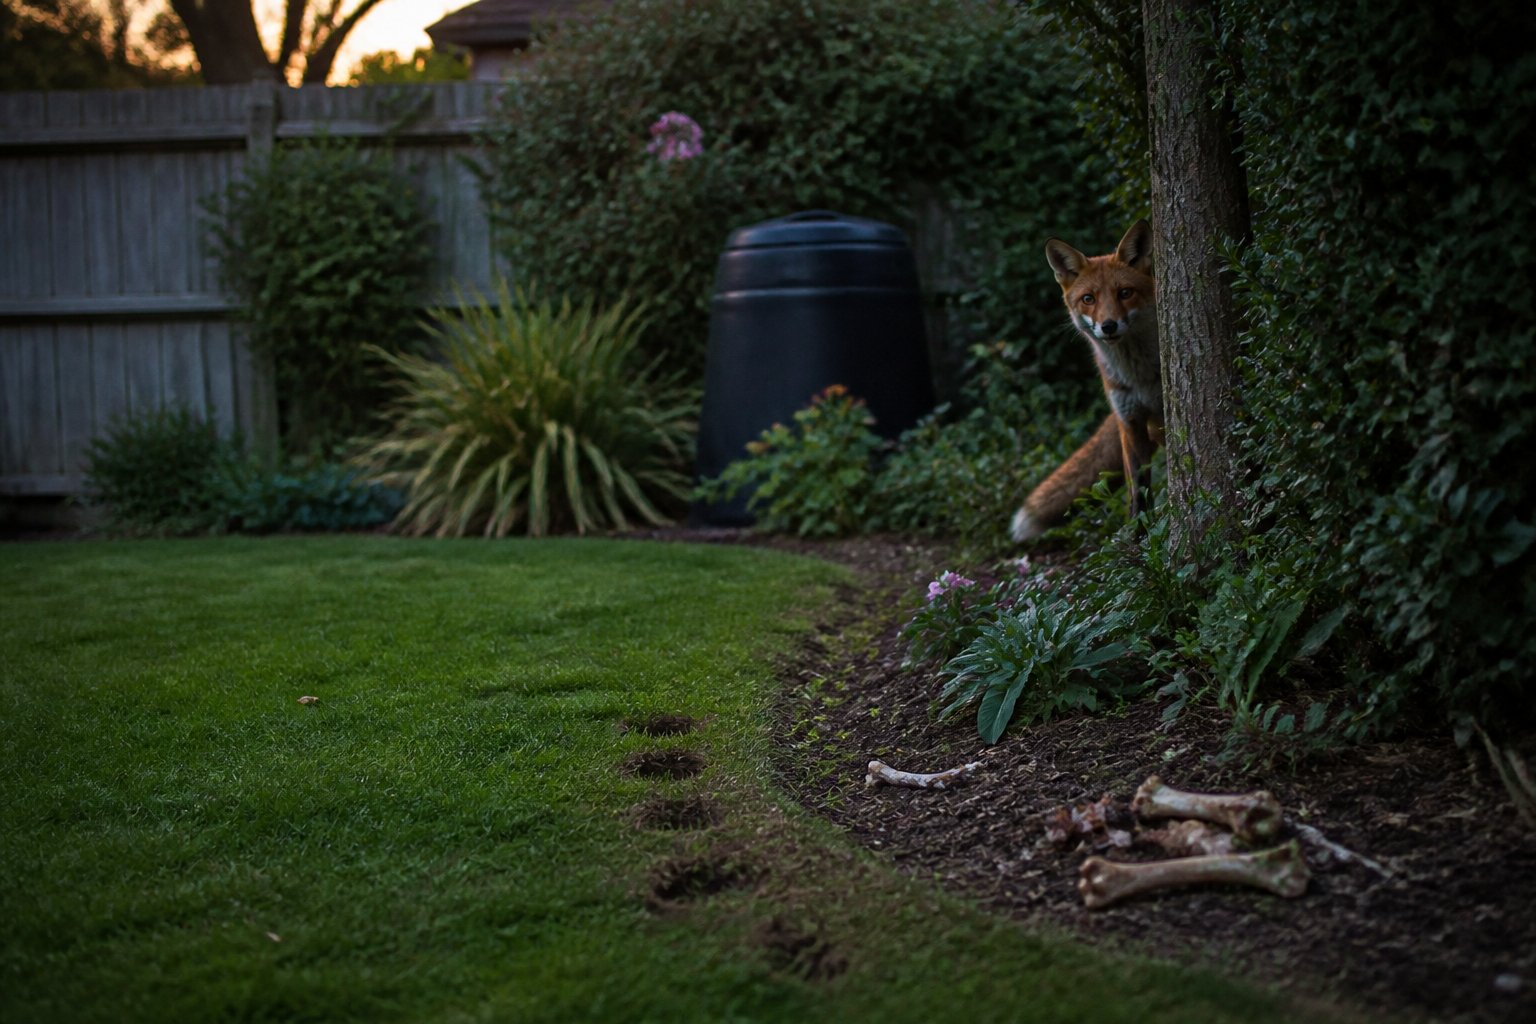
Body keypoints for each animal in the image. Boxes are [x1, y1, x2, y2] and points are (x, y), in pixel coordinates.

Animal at [1009, 219, 1162, 542]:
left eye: (1125, 292)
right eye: (1088, 299)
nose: (1108, 326)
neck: (1139, 376)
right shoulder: (1129, 421)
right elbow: (1138, 491)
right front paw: (1140, 536)